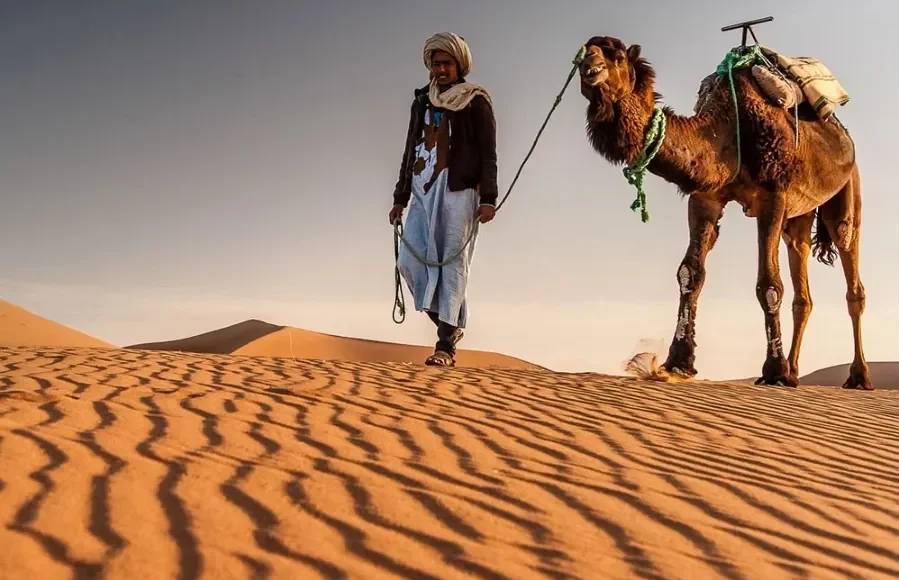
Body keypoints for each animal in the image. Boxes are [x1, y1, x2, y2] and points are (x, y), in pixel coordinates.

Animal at [577, 35, 872, 390]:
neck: (730, 129)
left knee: (850, 270)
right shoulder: (705, 196)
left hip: (848, 189)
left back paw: (857, 376)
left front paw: (773, 370)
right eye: (584, 51)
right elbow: (690, 272)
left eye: (618, 57)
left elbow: (769, 285)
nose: (589, 67)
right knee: (802, 287)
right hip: (799, 218)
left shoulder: (773, 195)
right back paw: (794, 371)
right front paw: (678, 362)